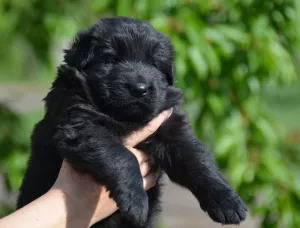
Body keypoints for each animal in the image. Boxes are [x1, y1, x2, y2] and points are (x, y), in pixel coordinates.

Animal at [17, 18, 246, 228]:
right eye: (111, 59)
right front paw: (135, 202)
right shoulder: (82, 126)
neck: (124, 117)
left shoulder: (171, 126)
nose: (139, 88)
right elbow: (122, 157)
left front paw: (228, 202)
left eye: (154, 64)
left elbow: (197, 159)